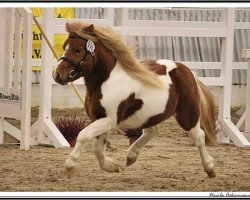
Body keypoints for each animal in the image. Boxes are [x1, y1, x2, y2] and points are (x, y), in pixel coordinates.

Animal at [52, 22, 217, 178]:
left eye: (78, 50)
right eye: (64, 47)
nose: (57, 75)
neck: (106, 81)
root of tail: (189, 72)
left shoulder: (108, 120)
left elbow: (83, 136)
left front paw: (70, 165)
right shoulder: (100, 119)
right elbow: (98, 148)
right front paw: (114, 166)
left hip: (187, 115)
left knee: (199, 137)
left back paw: (210, 168)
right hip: (149, 115)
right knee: (152, 131)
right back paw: (131, 156)